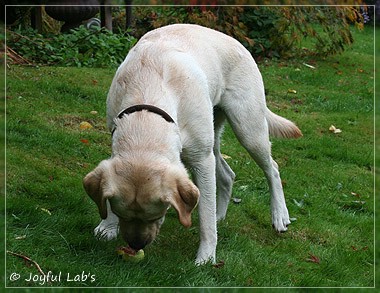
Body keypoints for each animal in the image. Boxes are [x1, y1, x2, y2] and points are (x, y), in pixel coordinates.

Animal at [82, 23, 300, 264]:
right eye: (123, 215)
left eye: (158, 215)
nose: (136, 245)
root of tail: (238, 43)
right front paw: (108, 227)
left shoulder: (201, 161)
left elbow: (205, 218)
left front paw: (205, 258)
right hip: (214, 137)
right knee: (227, 175)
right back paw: (219, 216)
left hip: (248, 129)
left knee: (273, 168)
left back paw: (279, 215)